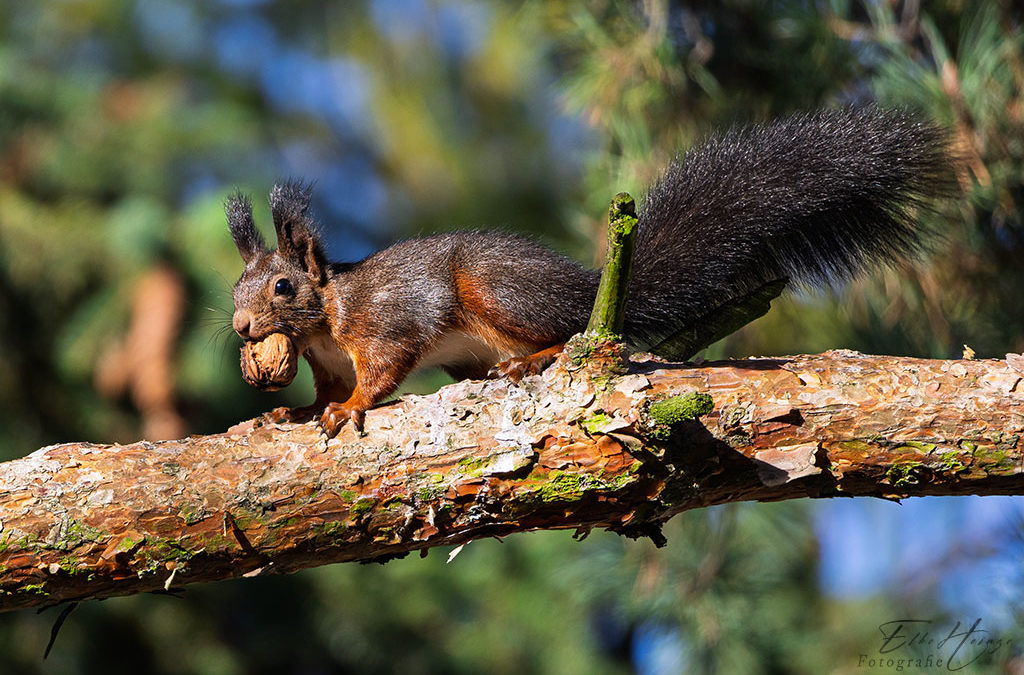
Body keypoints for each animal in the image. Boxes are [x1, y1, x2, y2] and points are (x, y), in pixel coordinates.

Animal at [227, 107, 959, 437]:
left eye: (284, 287)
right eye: (235, 288)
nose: (239, 327)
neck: (327, 318)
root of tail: (587, 286)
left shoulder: (386, 324)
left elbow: (381, 369)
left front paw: (351, 407)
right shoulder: (325, 360)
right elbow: (320, 390)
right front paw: (293, 412)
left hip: (494, 290)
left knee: (566, 330)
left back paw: (535, 358)